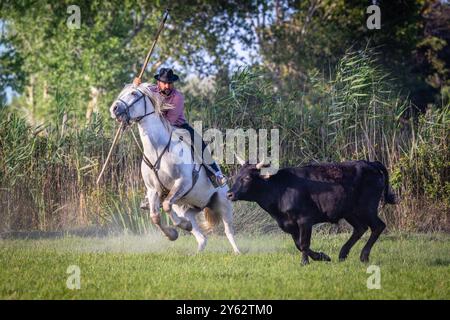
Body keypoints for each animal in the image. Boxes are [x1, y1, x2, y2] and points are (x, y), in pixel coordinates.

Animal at [109, 84, 241, 254]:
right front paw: (172, 234)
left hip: (224, 204)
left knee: (228, 231)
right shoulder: (153, 190)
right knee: (201, 236)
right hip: (187, 207)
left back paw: (237, 252)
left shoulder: (183, 182)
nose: (114, 108)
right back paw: (197, 250)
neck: (157, 150)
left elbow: (165, 206)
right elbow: (155, 216)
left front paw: (180, 227)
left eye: (133, 93)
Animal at [229, 160, 398, 264]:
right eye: (237, 176)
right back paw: (343, 254)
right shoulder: (290, 224)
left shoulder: (305, 220)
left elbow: (304, 243)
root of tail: (369, 163)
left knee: (378, 226)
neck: (280, 188)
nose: (229, 194)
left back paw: (363, 256)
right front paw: (322, 256)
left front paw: (305, 262)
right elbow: (299, 244)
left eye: (247, 178)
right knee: (360, 228)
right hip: (350, 212)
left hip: (367, 208)